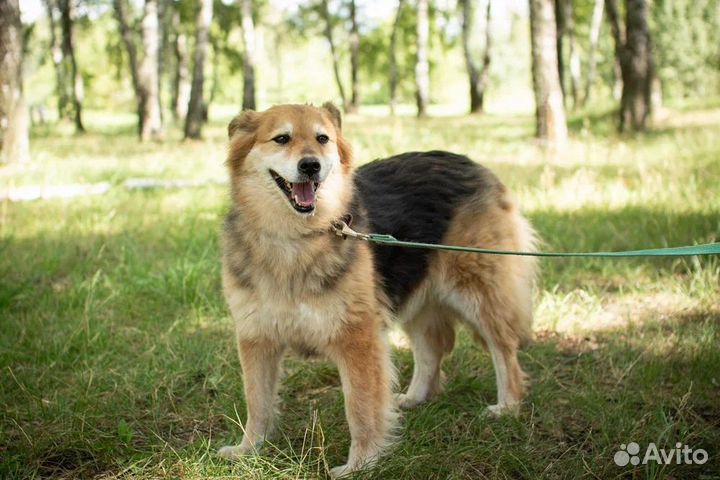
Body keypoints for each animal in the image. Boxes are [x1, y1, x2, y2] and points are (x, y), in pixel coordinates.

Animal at [217, 102, 536, 476]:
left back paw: (507, 406)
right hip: (415, 294)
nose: (311, 166)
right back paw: (415, 397)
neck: (295, 238)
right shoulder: (257, 338)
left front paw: (361, 464)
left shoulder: (357, 338)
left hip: (478, 291)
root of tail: (470, 162)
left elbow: (361, 407)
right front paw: (249, 449)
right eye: (282, 138)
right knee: (431, 349)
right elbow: (257, 401)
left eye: (322, 139)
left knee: (504, 350)